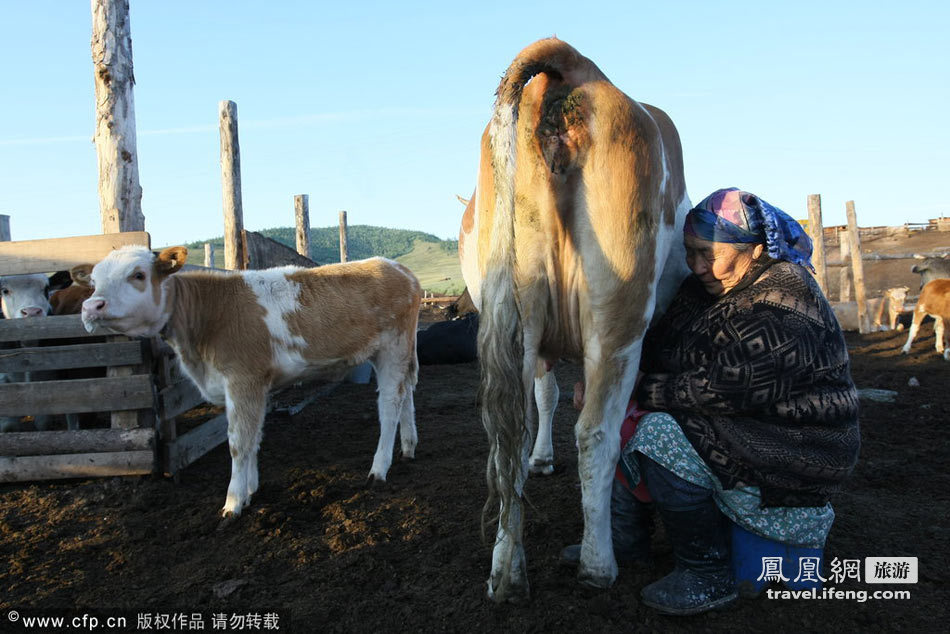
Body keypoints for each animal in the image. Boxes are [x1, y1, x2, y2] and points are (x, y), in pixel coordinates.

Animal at [82, 244, 424, 516]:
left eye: (138, 275)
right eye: (93, 281)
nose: (90, 306)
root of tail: (398, 268)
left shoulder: (243, 380)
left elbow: (238, 442)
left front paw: (233, 503)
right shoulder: (253, 385)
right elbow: (254, 436)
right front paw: (250, 490)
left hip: (393, 347)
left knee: (389, 405)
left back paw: (379, 469)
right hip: (396, 351)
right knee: (405, 393)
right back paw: (408, 448)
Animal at [462, 37, 692, 600]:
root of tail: (573, 66)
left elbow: (542, 401)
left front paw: (540, 460)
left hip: (516, 308)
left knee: (507, 436)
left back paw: (505, 573)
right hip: (620, 316)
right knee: (596, 434)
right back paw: (598, 564)